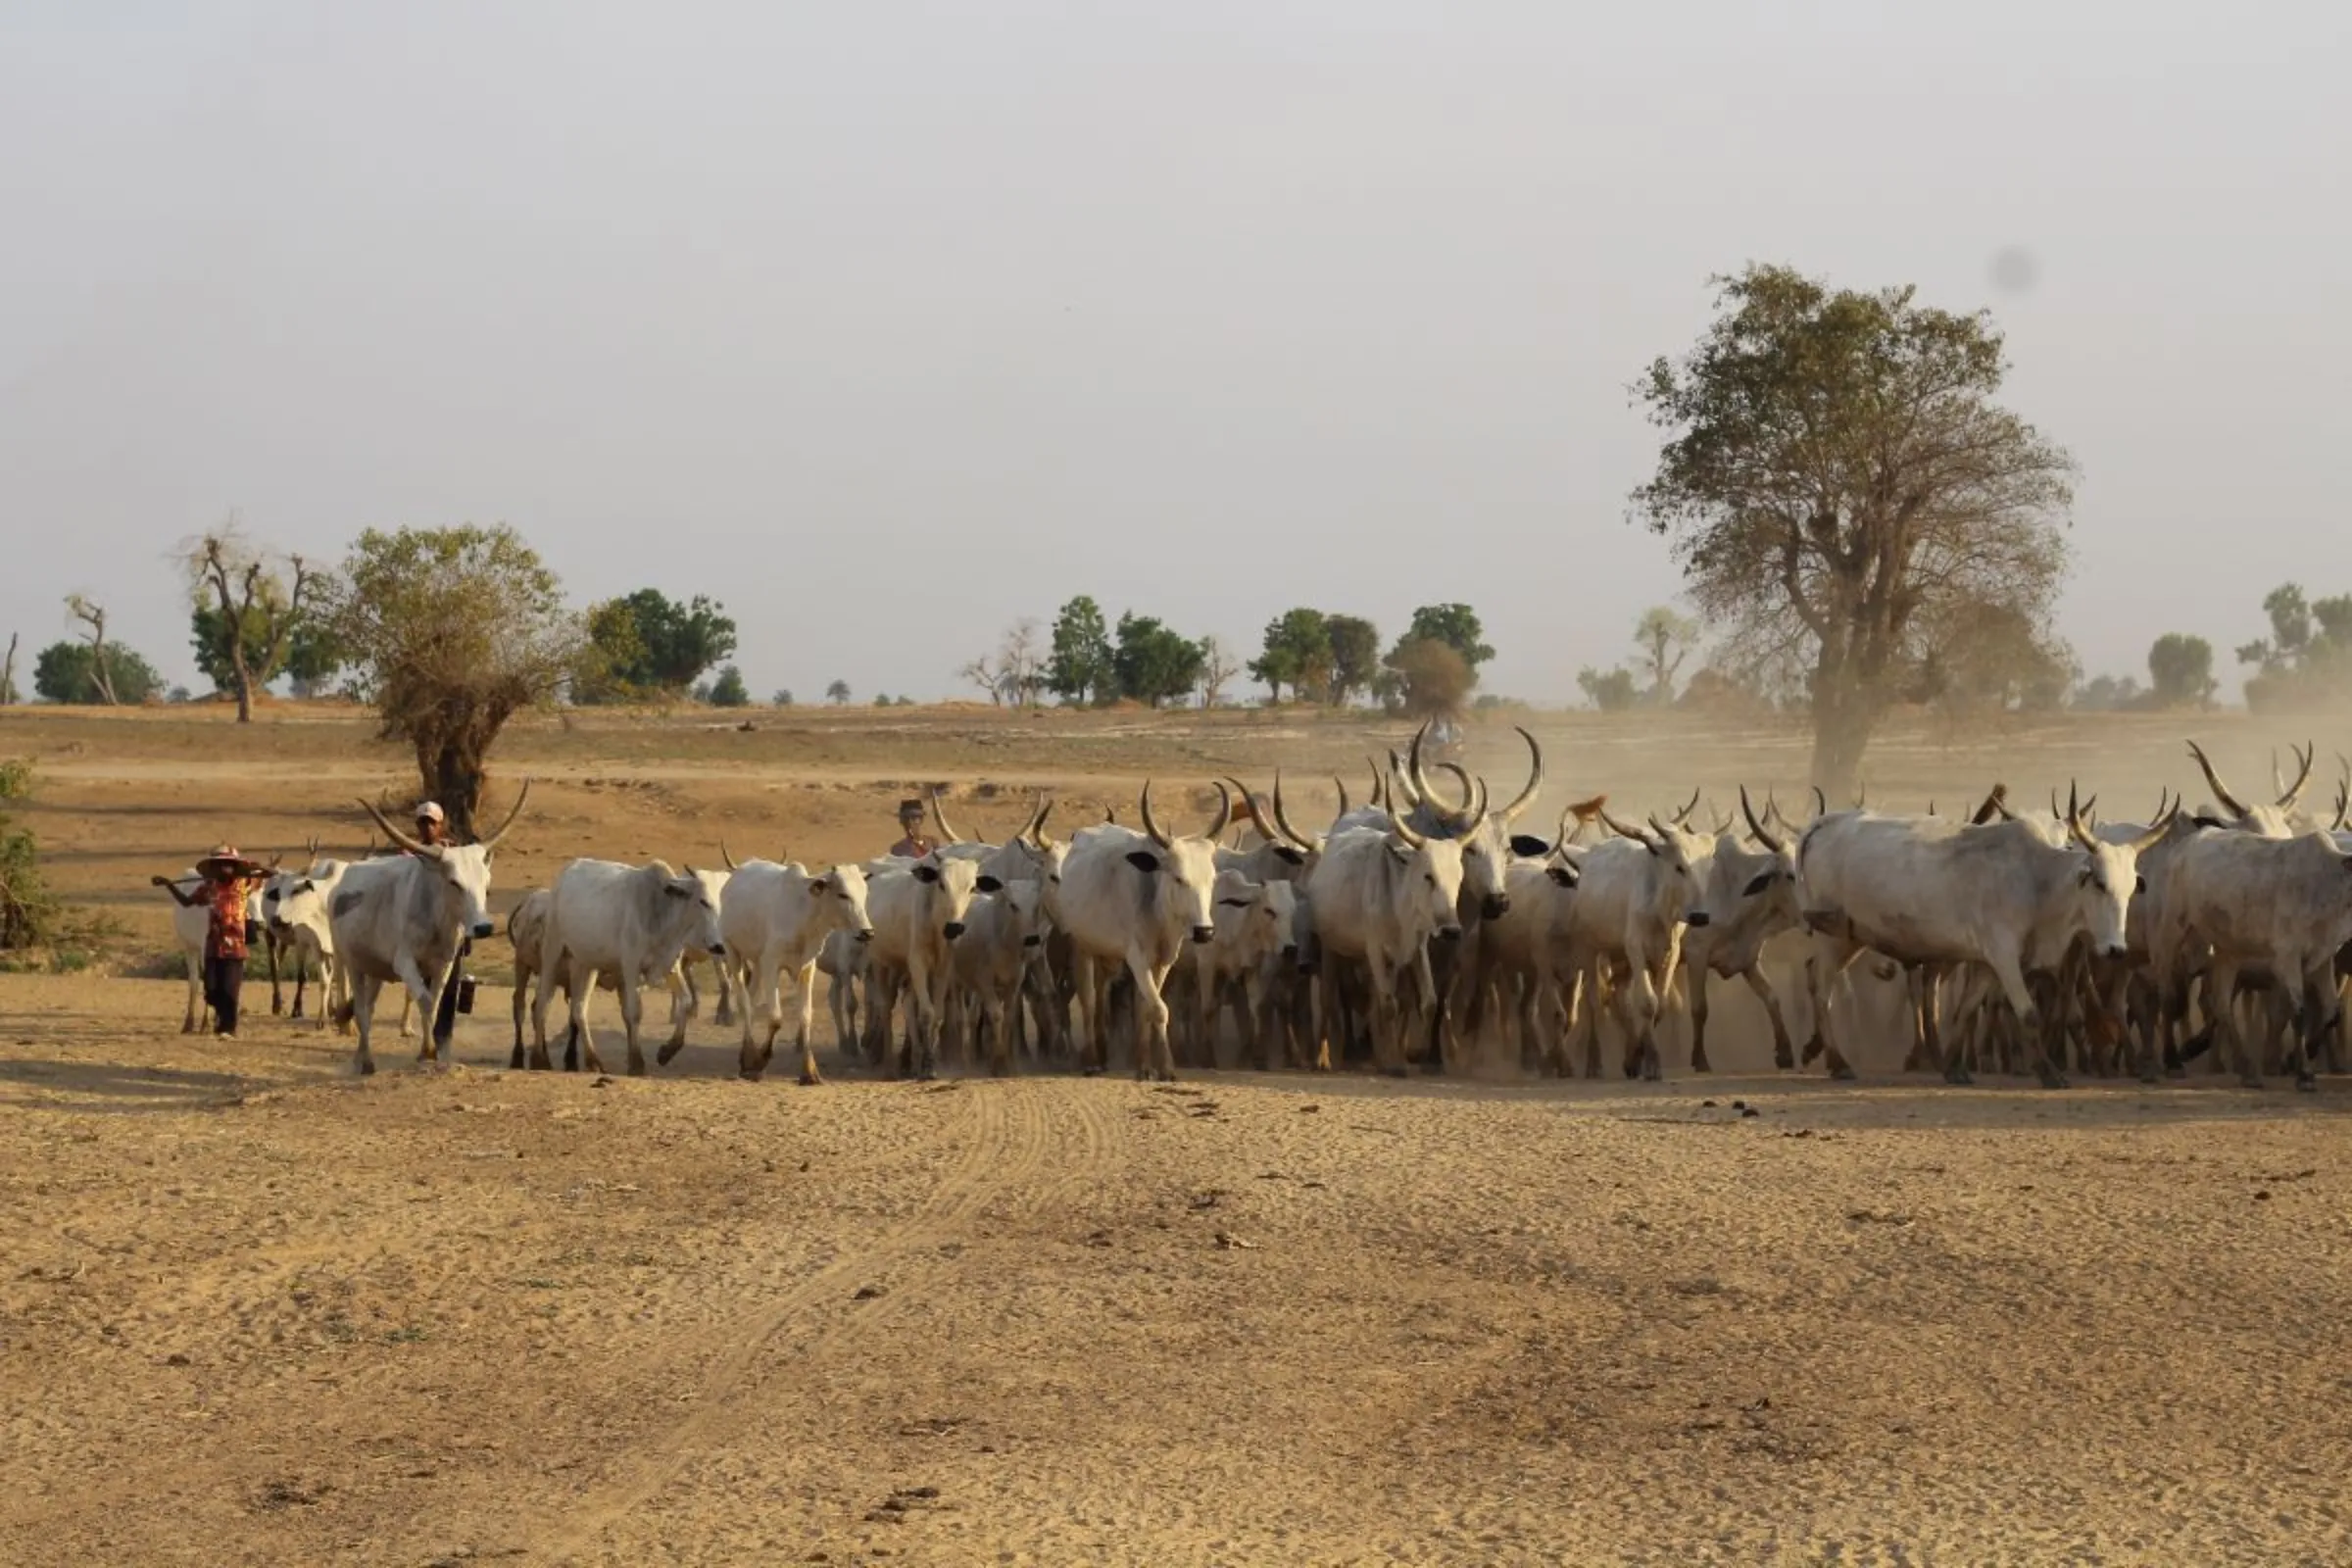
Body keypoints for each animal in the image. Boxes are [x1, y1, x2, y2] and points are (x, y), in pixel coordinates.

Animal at [331, 789, 529, 1071]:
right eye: (454, 882)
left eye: (487, 883)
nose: (483, 927)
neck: (435, 916)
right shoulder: (404, 961)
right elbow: (424, 1000)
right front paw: (429, 1050)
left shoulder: (445, 962)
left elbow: (434, 1001)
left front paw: (428, 1050)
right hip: (352, 962)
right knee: (360, 1008)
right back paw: (367, 1061)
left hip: (376, 969)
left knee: (368, 1007)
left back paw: (361, 1054)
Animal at [538, 859, 729, 1081]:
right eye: (703, 901)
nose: (719, 946)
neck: (660, 911)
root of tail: (569, 869)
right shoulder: (630, 967)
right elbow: (634, 1013)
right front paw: (637, 1063)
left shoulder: (670, 966)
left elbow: (686, 1000)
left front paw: (667, 1051)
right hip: (552, 949)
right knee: (543, 1003)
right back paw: (541, 1059)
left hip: (585, 963)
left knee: (579, 1008)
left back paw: (593, 1061)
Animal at [719, 859, 879, 1091]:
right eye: (843, 895)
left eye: (864, 893)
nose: (867, 933)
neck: (804, 913)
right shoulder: (771, 964)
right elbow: (776, 1018)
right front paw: (760, 1061)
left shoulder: (806, 968)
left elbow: (805, 1016)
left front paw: (809, 1072)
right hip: (733, 952)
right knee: (745, 1003)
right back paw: (748, 1057)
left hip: (756, 962)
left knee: (752, 997)